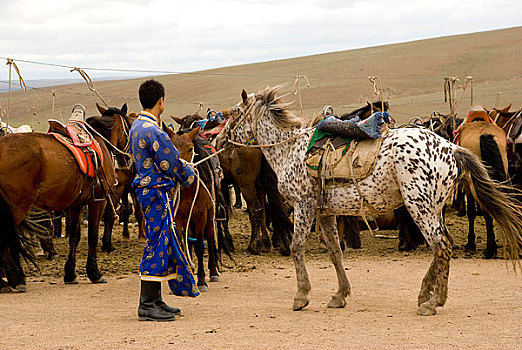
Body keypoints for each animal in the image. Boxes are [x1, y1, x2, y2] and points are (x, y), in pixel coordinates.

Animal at [0, 113, 117, 292]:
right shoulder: (98, 201)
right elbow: (92, 236)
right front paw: (95, 273)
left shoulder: (76, 205)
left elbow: (74, 236)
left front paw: (70, 274)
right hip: (16, 207)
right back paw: (15, 280)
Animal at [223, 87, 520, 314]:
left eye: (235, 113)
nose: (222, 139)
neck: (290, 149)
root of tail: (451, 148)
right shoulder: (325, 213)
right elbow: (335, 251)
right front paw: (340, 295)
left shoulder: (304, 205)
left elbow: (297, 247)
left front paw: (301, 296)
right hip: (432, 208)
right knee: (441, 245)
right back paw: (425, 294)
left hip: (419, 207)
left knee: (441, 246)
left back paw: (433, 301)